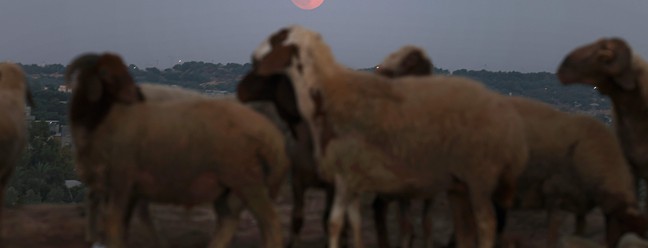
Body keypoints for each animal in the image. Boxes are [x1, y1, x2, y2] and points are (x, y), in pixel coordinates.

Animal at [235, 24, 528, 248]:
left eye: (278, 38)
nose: (252, 54)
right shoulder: (349, 180)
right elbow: (351, 222)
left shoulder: (344, 179)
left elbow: (334, 222)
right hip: (454, 184)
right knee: (460, 228)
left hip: (473, 177)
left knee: (485, 223)